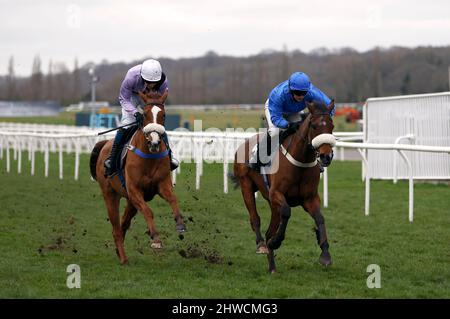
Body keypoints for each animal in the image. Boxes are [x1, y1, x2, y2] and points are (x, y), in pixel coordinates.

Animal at [90, 90, 185, 264]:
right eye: (145, 114)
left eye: (163, 115)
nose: (154, 142)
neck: (149, 156)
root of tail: (105, 143)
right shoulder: (134, 190)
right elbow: (148, 211)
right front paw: (155, 238)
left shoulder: (162, 185)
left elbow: (173, 199)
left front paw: (180, 224)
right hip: (110, 194)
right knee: (116, 228)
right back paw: (123, 259)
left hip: (130, 202)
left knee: (123, 224)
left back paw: (119, 251)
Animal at [234, 101, 336, 274]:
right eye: (314, 126)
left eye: (332, 126)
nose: (326, 156)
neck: (300, 161)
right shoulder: (277, 193)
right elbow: (287, 212)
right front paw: (276, 242)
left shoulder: (309, 198)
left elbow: (320, 218)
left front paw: (325, 254)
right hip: (246, 186)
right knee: (255, 218)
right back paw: (262, 245)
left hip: (271, 203)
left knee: (270, 229)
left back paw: (272, 266)